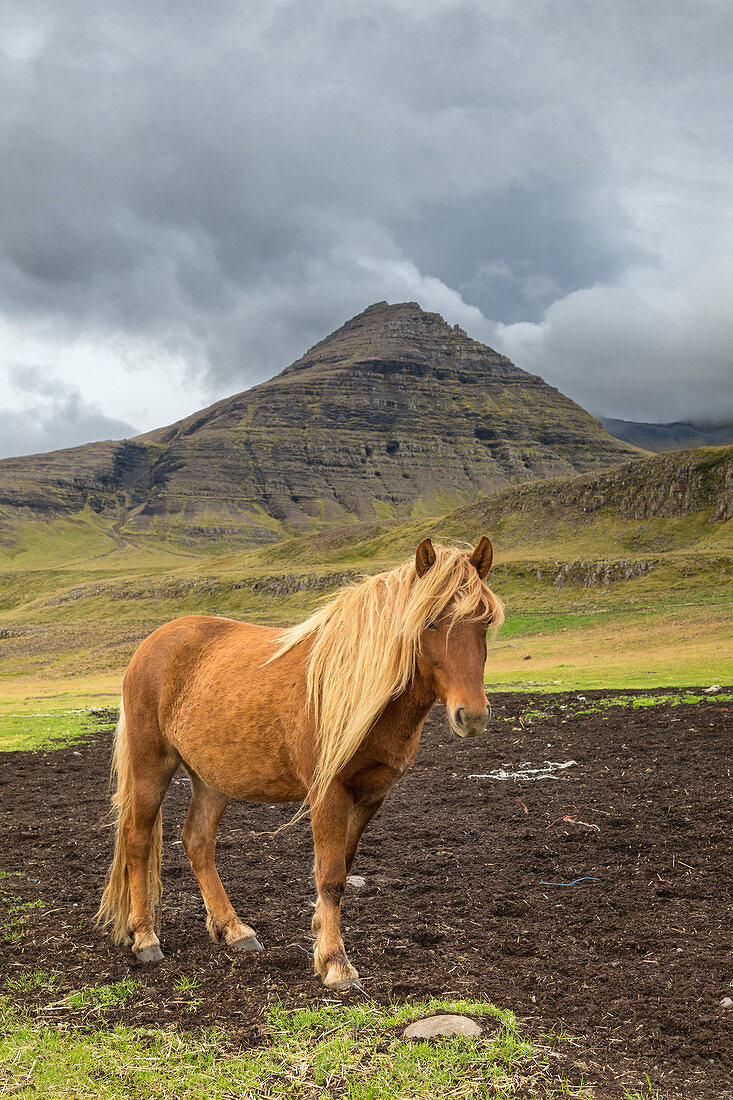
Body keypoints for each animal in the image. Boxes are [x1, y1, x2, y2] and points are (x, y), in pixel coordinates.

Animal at [94, 536, 499, 994]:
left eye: (485, 622)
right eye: (429, 622)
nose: (472, 715)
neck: (356, 688)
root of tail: (151, 644)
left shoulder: (371, 795)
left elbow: (343, 868)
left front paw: (321, 936)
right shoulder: (328, 793)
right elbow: (331, 876)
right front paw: (336, 963)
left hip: (212, 778)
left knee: (197, 841)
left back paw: (234, 929)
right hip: (152, 765)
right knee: (137, 839)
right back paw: (145, 937)